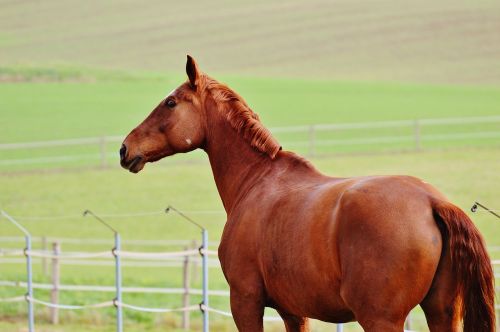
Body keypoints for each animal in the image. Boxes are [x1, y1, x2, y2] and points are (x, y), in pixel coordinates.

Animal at [119, 55, 494, 330]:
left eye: (170, 102)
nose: (125, 148)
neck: (257, 181)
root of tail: (432, 202)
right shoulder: (293, 312)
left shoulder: (245, 302)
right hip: (442, 312)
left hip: (380, 319)